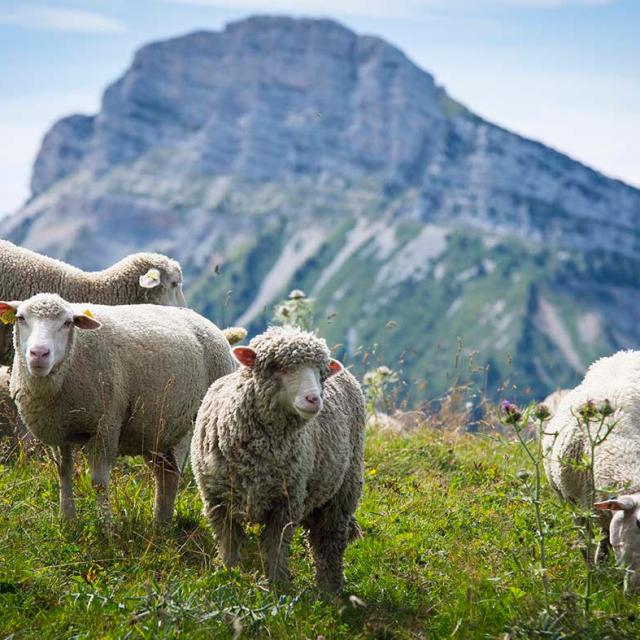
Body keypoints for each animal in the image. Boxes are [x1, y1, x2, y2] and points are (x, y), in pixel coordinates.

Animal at [1, 292, 236, 524]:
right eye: (20, 318)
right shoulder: (59, 431)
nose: (39, 353)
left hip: (188, 426)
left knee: (174, 473)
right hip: (156, 430)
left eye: (67, 323)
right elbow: (63, 473)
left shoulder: (106, 425)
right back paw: (160, 523)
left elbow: (98, 482)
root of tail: (205, 322)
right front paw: (68, 521)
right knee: (165, 474)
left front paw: (105, 526)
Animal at [190, 328, 364, 592]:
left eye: (321, 373)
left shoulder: (285, 503)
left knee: (329, 540)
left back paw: (330, 589)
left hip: (343, 489)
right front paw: (228, 575)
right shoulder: (217, 501)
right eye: (277, 366)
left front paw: (276, 586)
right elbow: (228, 542)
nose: (314, 399)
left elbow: (275, 547)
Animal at [544, 350, 640, 592]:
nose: (635, 590)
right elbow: (585, 542)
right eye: (638, 524)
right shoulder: (577, 503)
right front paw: (594, 574)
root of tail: (626, 352)